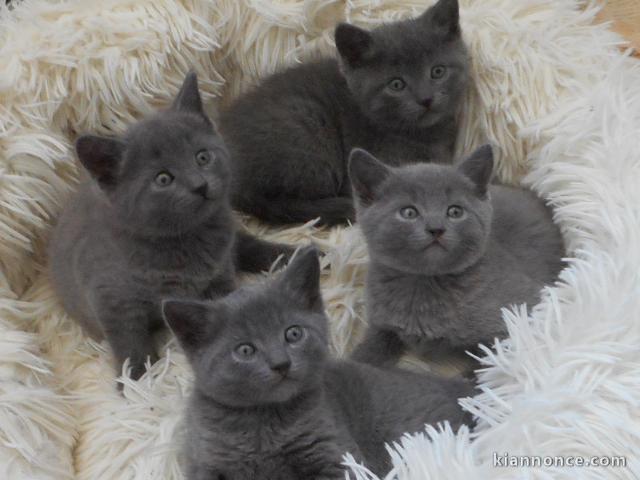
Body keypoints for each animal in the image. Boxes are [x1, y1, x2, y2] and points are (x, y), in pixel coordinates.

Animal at [164, 246, 476, 478]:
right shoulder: (204, 459)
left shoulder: (334, 453)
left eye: (293, 333)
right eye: (244, 350)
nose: (281, 363)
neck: (264, 421)